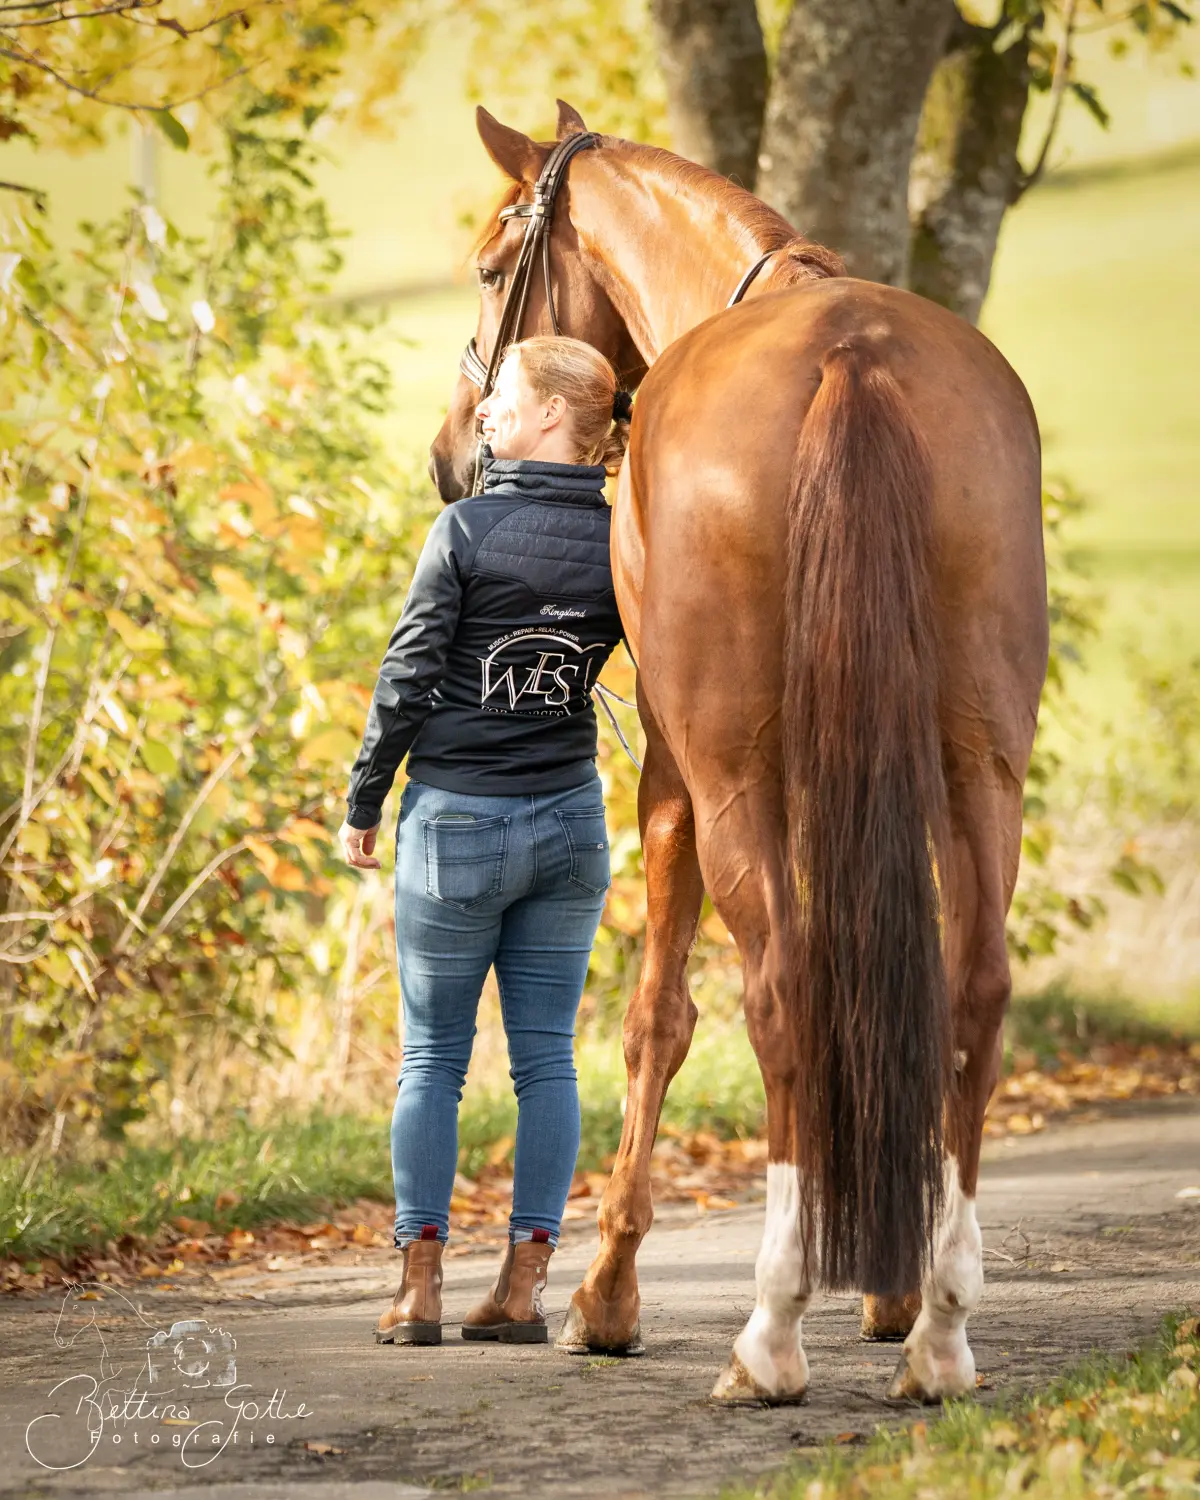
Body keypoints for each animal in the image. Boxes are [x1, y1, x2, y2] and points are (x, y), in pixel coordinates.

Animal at [426, 105, 1044, 1404]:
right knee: (969, 987)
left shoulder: (673, 776)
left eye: (495, 269)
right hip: (979, 761)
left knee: (784, 989)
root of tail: (853, 355)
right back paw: (940, 1329)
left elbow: (657, 1015)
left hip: (731, 776)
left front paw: (606, 1297)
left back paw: (769, 1329)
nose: (461, 452)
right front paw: (888, 1290)